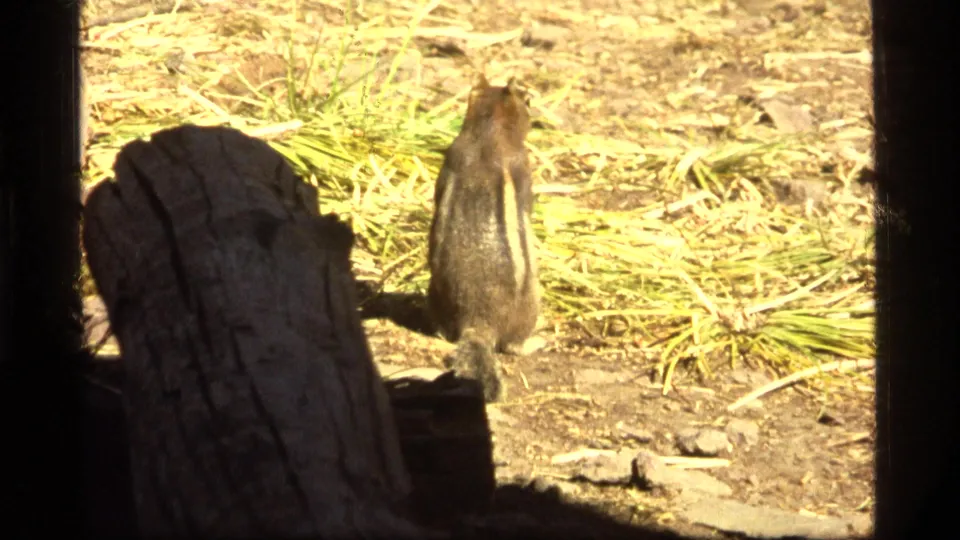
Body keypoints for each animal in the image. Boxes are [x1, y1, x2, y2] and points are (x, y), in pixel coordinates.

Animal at [426, 73, 541, 403]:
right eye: (528, 100)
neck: (487, 134)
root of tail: (478, 323)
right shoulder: (522, 167)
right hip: (531, 301)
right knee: (512, 346)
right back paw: (536, 341)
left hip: (433, 293)